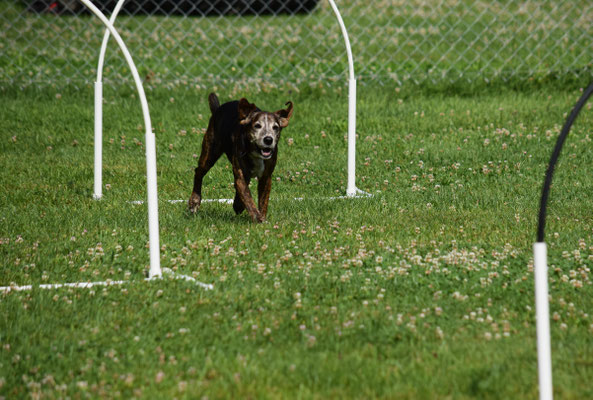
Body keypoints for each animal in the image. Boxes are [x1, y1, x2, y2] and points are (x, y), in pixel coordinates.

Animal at [188, 94, 292, 223]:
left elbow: (263, 200)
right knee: (199, 172)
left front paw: (261, 216)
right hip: (210, 151)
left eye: (275, 127)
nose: (268, 139)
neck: (255, 153)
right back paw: (194, 201)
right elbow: (248, 198)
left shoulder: (266, 177)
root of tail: (218, 109)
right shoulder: (240, 173)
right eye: (257, 126)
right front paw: (258, 218)